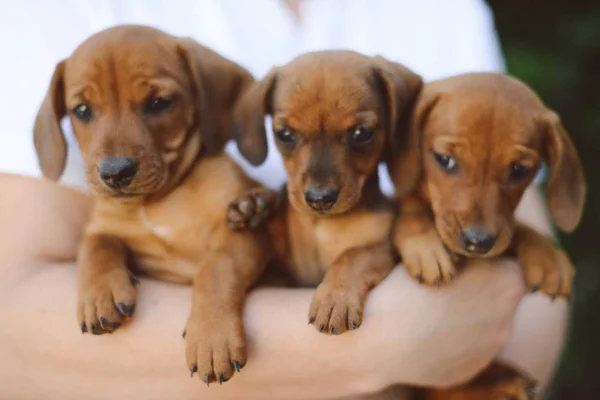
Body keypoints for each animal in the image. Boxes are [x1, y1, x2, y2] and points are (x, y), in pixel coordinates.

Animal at [31, 25, 268, 384]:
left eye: (159, 103)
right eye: (82, 110)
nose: (115, 173)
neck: (157, 201)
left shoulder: (239, 236)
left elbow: (215, 269)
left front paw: (212, 336)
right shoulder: (103, 225)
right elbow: (97, 245)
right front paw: (100, 293)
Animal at [226, 50, 422, 334]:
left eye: (361, 134)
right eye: (285, 134)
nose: (320, 199)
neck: (323, 226)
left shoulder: (382, 248)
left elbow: (351, 256)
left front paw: (334, 300)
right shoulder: (285, 273)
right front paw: (252, 205)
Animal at [390, 72, 584, 400]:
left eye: (519, 170)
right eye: (444, 160)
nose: (477, 242)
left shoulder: (502, 228)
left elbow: (514, 228)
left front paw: (546, 255)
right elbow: (410, 206)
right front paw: (426, 246)